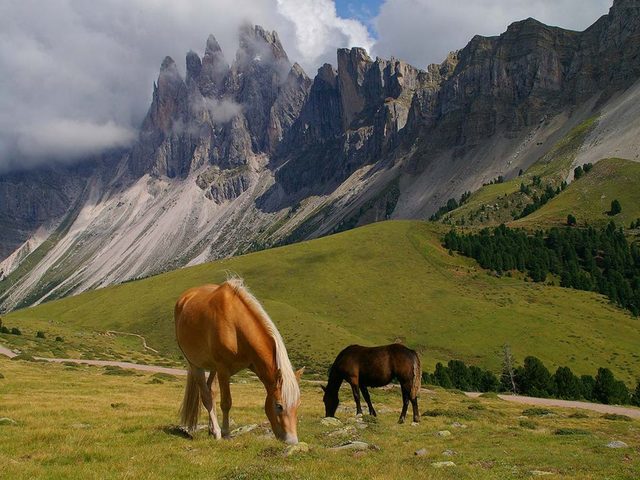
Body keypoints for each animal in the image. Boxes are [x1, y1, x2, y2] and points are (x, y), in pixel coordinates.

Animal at [175, 280, 304, 444]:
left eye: (298, 404)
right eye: (279, 405)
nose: (292, 441)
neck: (235, 326)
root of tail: (185, 298)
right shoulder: (223, 370)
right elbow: (226, 403)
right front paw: (226, 433)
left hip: (212, 368)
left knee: (211, 391)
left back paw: (211, 429)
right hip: (196, 365)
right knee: (206, 396)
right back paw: (216, 431)